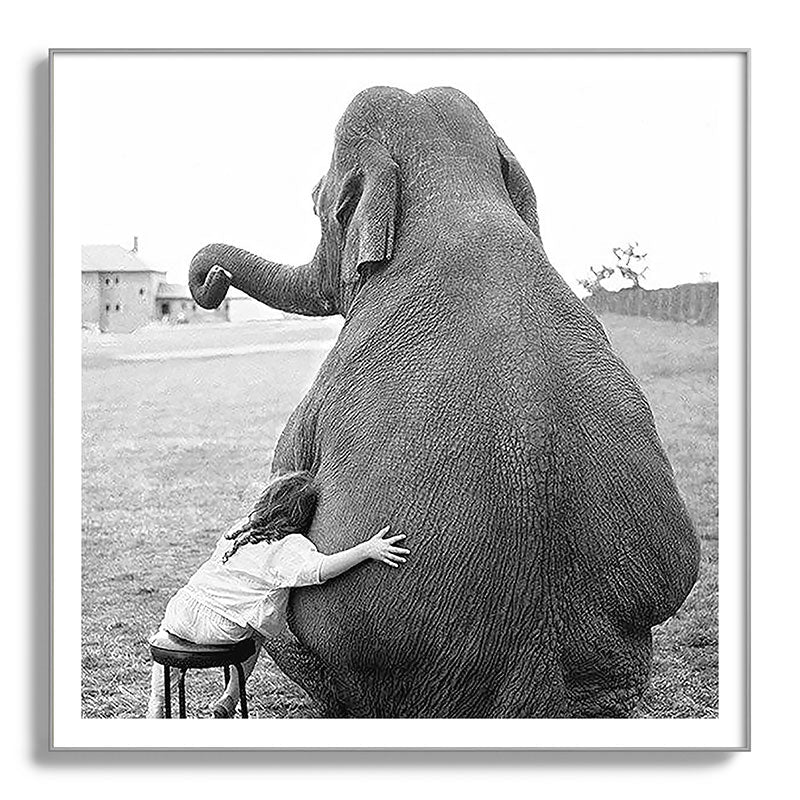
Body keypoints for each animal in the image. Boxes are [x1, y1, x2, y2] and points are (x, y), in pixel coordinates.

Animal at [188, 86, 700, 718]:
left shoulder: (321, 391)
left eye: (314, 200)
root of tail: (535, 691)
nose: (210, 279)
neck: (455, 192)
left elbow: (285, 479)